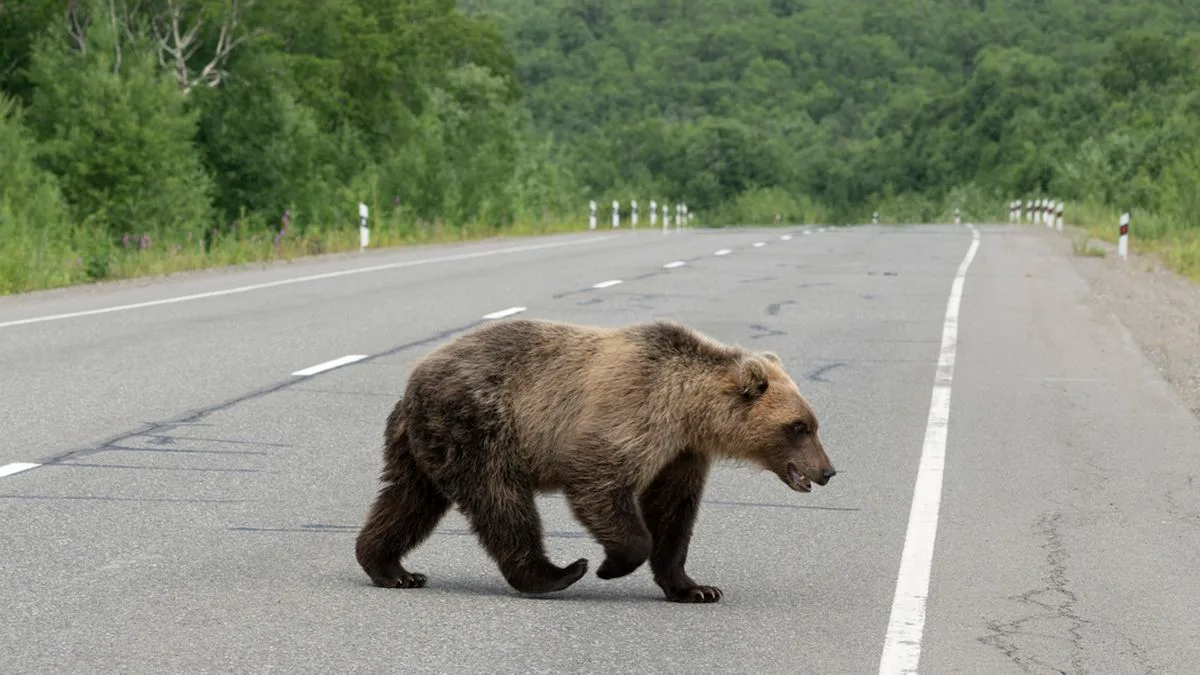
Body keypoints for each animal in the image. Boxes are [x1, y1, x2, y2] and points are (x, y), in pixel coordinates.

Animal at [354, 317, 836, 603]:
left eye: (813, 423)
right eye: (798, 427)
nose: (828, 471)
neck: (689, 410)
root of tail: (414, 377)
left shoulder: (681, 453)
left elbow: (673, 513)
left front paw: (696, 587)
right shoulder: (634, 412)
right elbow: (599, 481)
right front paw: (610, 564)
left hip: (424, 444)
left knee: (408, 499)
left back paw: (391, 567)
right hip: (479, 425)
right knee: (501, 500)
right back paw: (557, 573)